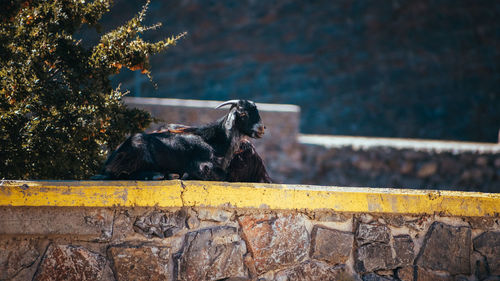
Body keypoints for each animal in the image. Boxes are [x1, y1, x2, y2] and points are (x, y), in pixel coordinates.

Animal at [95, 99, 272, 182]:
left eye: (257, 111)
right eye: (243, 113)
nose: (261, 128)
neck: (217, 142)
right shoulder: (202, 166)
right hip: (136, 151)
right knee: (120, 174)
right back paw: (160, 175)